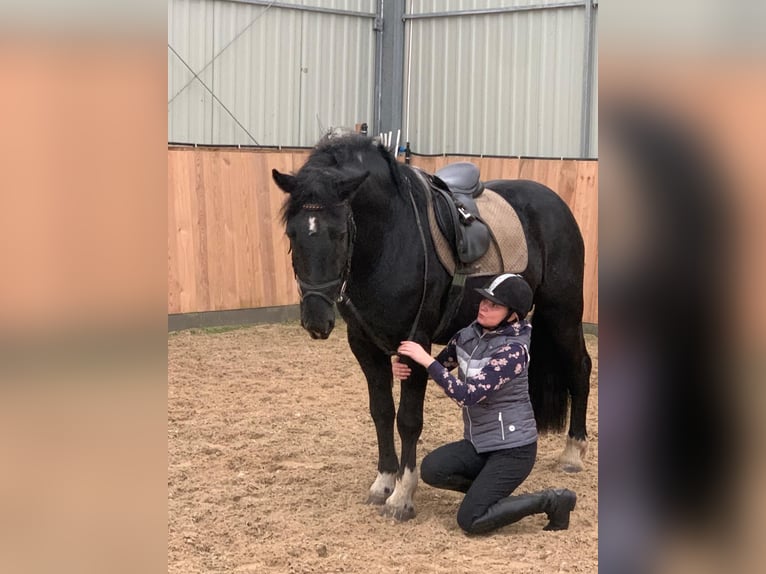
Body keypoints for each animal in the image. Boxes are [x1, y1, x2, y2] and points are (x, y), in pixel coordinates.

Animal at [272, 133, 591, 521]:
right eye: (292, 232)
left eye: (339, 232)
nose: (316, 320)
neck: (389, 238)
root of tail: (554, 202)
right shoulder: (364, 344)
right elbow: (381, 412)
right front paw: (384, 482)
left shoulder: (416, 342)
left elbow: (408, 419)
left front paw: (402, 496)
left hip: (563, 313)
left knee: (580, 368)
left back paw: (573, 452)